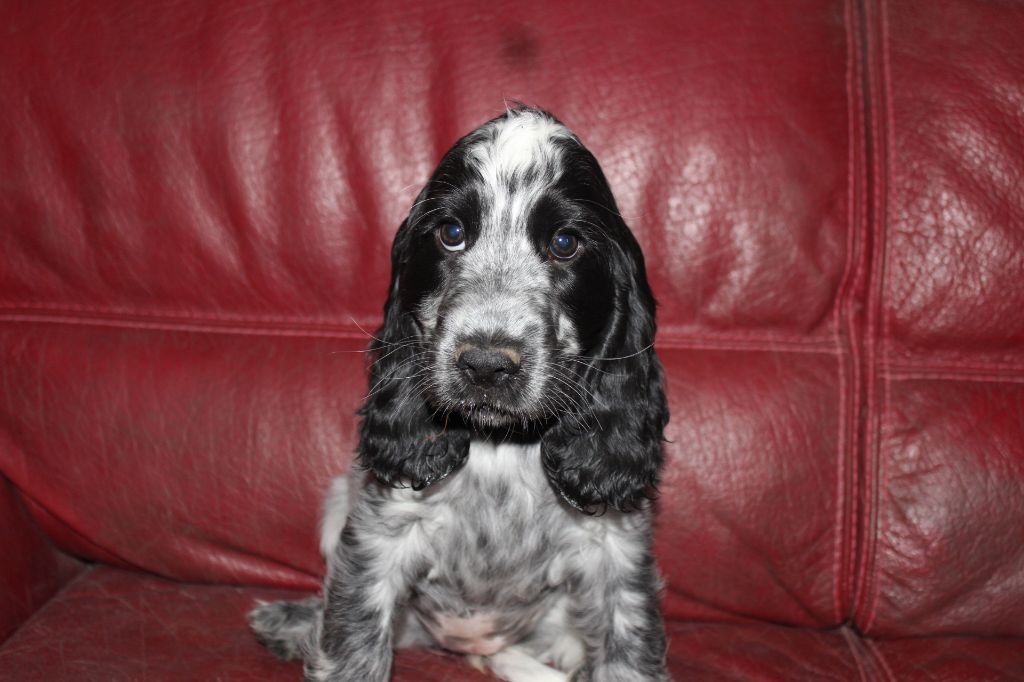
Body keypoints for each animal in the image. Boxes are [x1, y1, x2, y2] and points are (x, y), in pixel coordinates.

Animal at [249, 106, 670, 682]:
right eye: (451, 233)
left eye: (565, 243)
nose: (486, 366)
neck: (502, 444)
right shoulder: (378, 537)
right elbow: (352, 643)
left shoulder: (616, 557)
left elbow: (628, 657)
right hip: (339, 503)